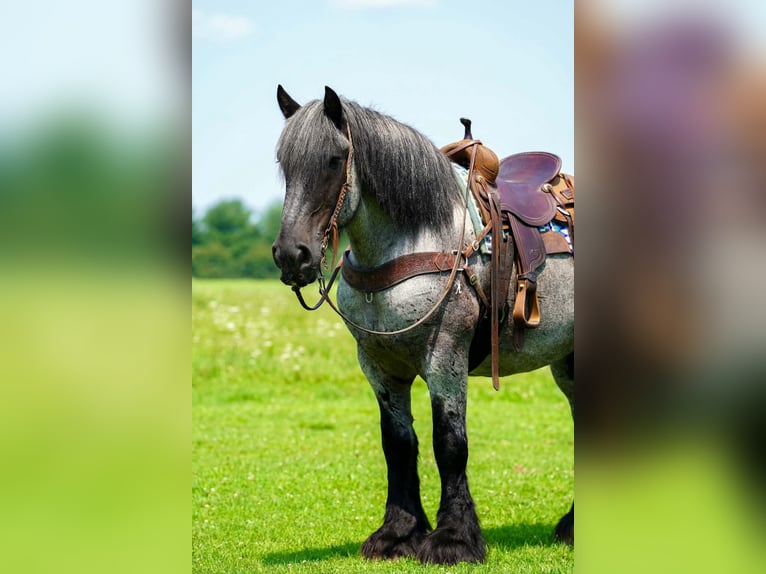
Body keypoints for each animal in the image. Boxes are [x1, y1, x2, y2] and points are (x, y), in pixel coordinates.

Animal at [271, 85, 574, 565]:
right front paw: (398, 533)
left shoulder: (444, 357)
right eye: (284, 163)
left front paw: (454, 539)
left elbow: (449, 444)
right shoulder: (379, 366)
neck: (417, 242)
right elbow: (398, 444)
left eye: (335, 159)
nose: (291, 255)